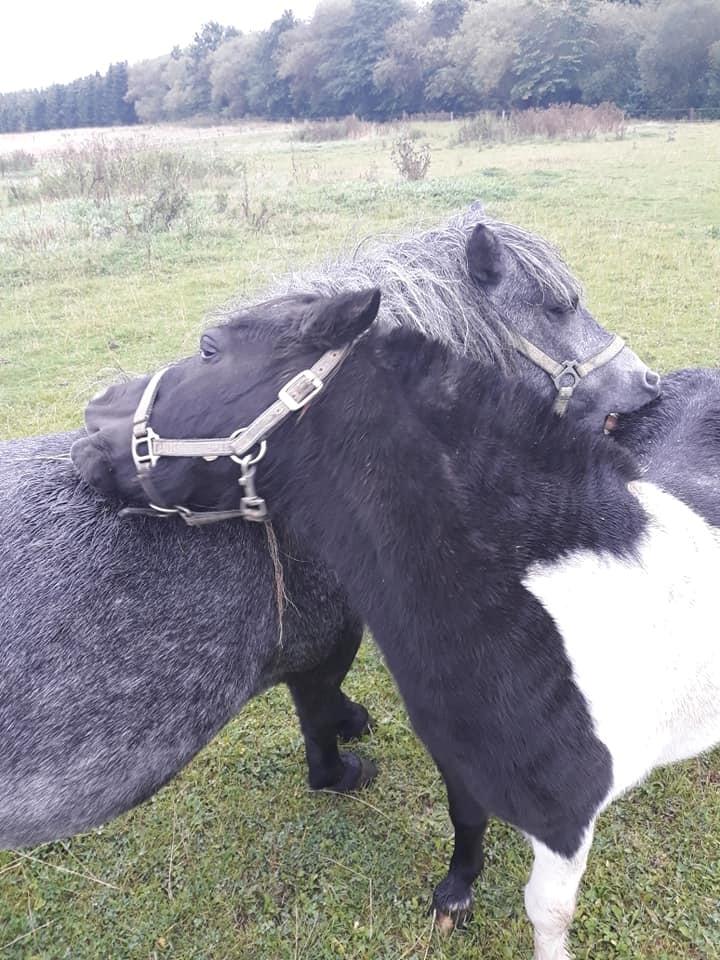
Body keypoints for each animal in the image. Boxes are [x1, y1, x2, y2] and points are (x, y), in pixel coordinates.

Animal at [0, 208, 656, 848]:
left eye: (207, 350)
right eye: (559, 307)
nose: (650, 384)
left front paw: (352, 723)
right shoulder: (324, 647)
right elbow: (317, 724)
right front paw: (340, 769)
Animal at [71, 286, 720, 960]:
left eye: (208, 350)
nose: (95, 410)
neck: (543, 620)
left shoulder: (565, 826)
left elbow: (547, 915)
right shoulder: (458, 760)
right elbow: (466, 820)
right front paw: (456, 894)